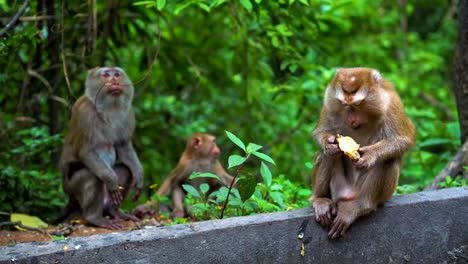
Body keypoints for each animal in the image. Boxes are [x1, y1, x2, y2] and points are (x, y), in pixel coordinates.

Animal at [60, 66, 144, 229]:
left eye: (117, 73)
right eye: (106, 74)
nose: (114, 80)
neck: (108, 107)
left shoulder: (128, 113)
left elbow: (123, 146)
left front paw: (139, 175)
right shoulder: (85, 113)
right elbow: (86, 152)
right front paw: (111, 180)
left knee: (125, 170)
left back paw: (115, 211)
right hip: (72, 188)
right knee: (92, 176)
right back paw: (94, 218)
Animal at [308, 67, 414, 239]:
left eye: (357, 104)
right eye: (344, 104)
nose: (351, 120)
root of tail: (348, 195)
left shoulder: (392, 104)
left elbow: (403, 138)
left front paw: (370, 155)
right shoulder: (329, 104)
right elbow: (321, 131)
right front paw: (329, 144)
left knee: (388, 160)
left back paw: (359, 206)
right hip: (338, 189)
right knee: (326, 155)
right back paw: (320, 199)